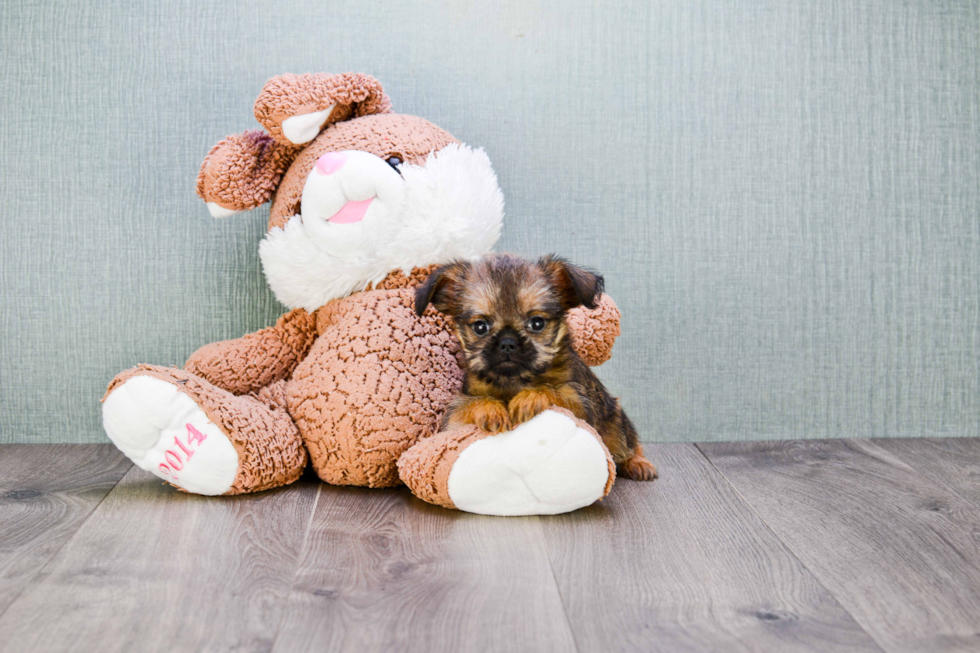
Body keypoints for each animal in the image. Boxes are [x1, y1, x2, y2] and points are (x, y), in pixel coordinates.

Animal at [414, 252, 660, 482]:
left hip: (614, 417)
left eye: (537, 323)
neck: (513, 381)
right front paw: (490, 408)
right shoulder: (453, 417)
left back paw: (638, 463)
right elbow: (471, 404)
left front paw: (530, 397)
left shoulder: (581, 405)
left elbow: (553, 390)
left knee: (629, 442)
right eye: (480, 327)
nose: (507, 342)